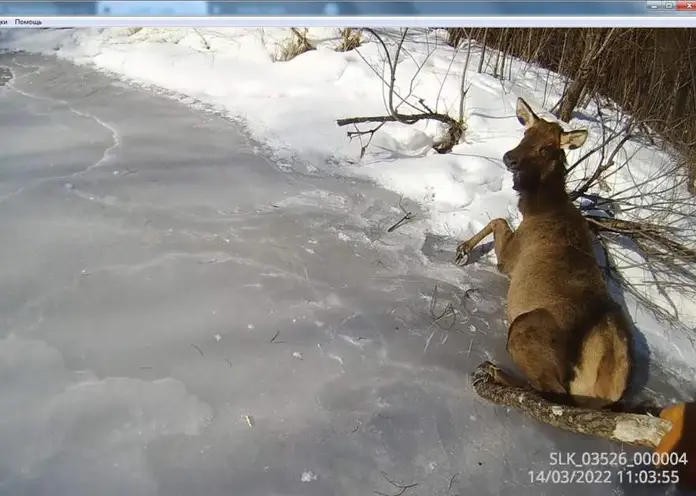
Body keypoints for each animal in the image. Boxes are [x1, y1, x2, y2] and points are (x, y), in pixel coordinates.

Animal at [460, 98, 692, 492]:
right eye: (526, 133)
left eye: (546, 148)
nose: (510, 158)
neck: (544, 208)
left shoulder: (512, 259)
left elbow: (497, 221)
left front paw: (462, 249)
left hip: (528, 326)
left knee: (553, 394)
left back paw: (497, 374)